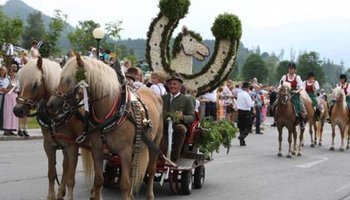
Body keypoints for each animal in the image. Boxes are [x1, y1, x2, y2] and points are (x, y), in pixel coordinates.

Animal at [13, 57, 92, 200]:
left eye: (35, 85)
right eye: (20, 83)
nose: (17, 110)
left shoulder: (72, 146)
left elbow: (71, 177)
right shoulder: (49, 145)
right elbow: (51, 172)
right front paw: (52, 195)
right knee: (65, 164)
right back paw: (61, 192)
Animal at [45, 54, 164, 200]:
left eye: (68, 79)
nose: (50, 105)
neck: (112, 111)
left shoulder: (125, 152)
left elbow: (124, 185)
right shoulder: (97, 150)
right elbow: (99, 180)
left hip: (155, 143)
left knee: (151, 170)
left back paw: (150, 195)